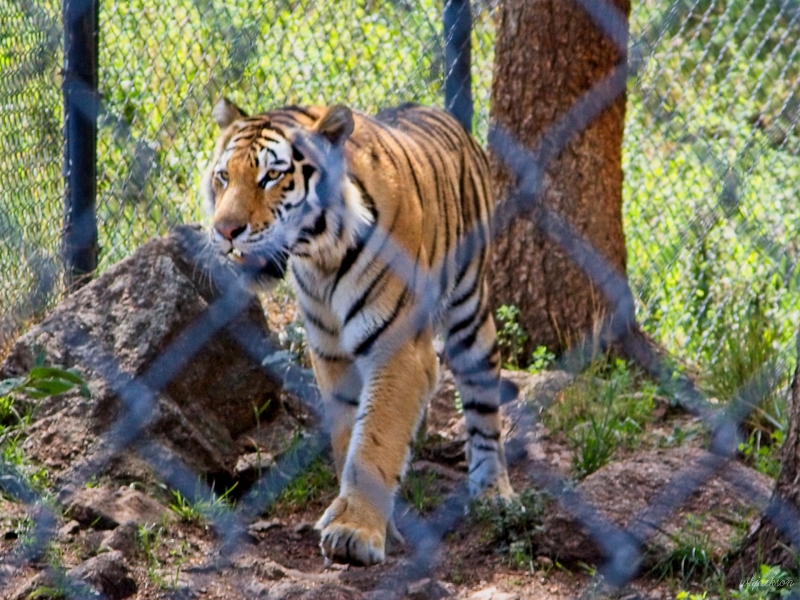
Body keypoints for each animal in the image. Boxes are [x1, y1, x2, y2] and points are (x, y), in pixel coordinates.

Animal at [199, 96, 512, 564]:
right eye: (223, 176)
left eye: (271, 176)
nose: (225, 231)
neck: (320, 258)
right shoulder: (331, 354)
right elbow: (351, 435)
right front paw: (368, 518)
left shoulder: (398, 350)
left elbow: (375, 438)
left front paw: (355, 530)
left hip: (470, 310)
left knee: (483, 402)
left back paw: (494, 489)